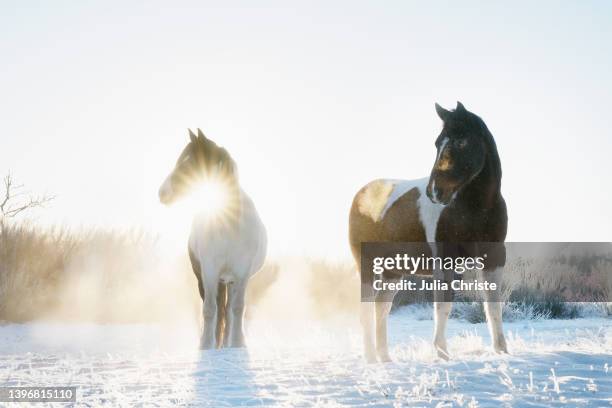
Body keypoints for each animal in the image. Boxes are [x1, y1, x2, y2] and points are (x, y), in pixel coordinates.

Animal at [158, 129, 266, 350]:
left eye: (188, 163)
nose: (162, 193)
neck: (229, 225)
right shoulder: (209, 270)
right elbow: (209, 310)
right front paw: (206, 346)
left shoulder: (242, 273)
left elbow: (237, 309)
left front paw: (237, 344)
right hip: (212, 277)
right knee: (218, 310)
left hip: (230, 280)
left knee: (229, 310)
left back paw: (226, 343)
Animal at [350, 103, 506, 364]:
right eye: (437, 143)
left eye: (461, 141)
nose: (435, 191)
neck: (475, 209)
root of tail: (361, 195)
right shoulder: (445, 260)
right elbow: (443, 307)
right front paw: (442, 353)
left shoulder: (494, 259)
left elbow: (493, 305)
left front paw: (502, 351)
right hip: (367, 264)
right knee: (366, 308)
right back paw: (371, 358)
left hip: (393, 271)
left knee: (381, 308)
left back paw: (385, 358)